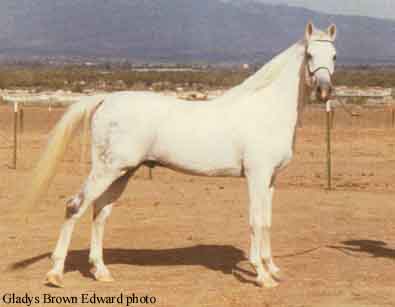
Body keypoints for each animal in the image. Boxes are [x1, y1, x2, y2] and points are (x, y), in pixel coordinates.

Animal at [26, 22, 338, 288]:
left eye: (334, 55)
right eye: (310, 54)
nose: (324, 91)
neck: (267, 110)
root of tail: (106, 99)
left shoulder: (270, 179)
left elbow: (268, 221)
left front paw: (272, 269)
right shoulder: (256, 175)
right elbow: (256, 220)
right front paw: (262, 275)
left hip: (123, 172)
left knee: (100, 213)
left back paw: (101, 271)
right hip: (106, 170)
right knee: (74, 207)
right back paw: (55, 274)